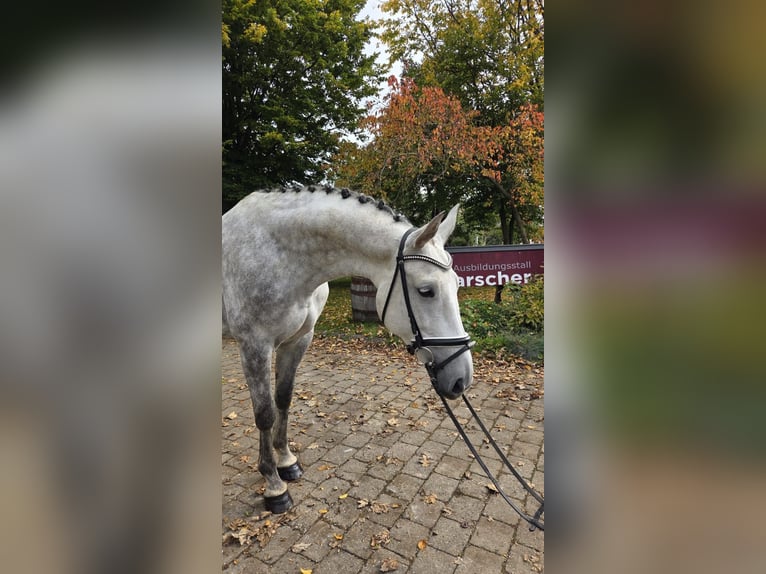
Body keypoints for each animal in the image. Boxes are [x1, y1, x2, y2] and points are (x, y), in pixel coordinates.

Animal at [222, 185, 474, 513]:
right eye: (426, 291)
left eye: (457, 285)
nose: (461, 380)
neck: (279, 256)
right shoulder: (255, 345)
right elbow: (264, 413)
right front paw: (274, 485)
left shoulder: (298, 340)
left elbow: (283, 399)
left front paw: (286, 461)